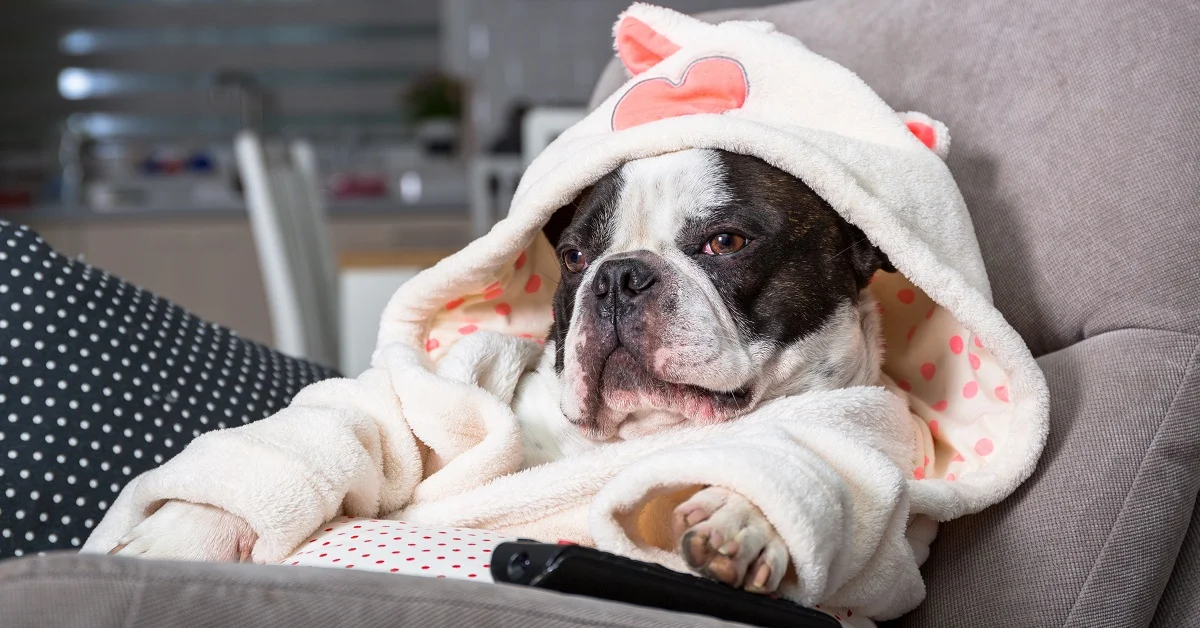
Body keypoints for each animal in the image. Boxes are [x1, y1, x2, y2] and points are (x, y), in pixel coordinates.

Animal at [110, 146, 892, 595]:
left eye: (726, 242)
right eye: (574, 258)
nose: (618, 277)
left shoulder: (853, 430)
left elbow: (811, 476)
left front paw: (743, 515)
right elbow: (351, 429)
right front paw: (183, 535)